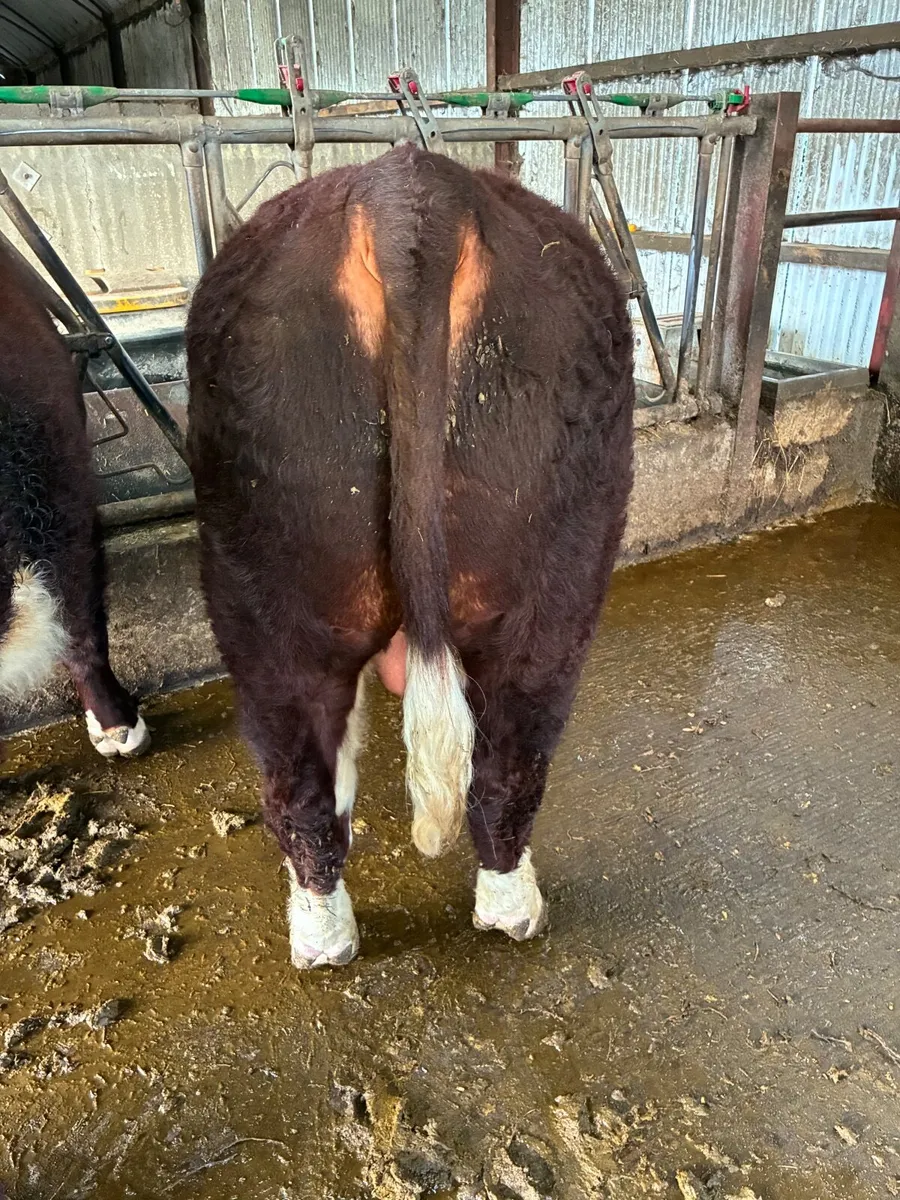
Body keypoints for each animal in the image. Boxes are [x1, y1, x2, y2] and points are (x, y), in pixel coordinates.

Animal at [186, 144, 633, 968]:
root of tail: (410, 190)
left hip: (262, 578)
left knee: (306, 766)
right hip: (552, 569)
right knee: (504, 752)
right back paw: (492, 911)